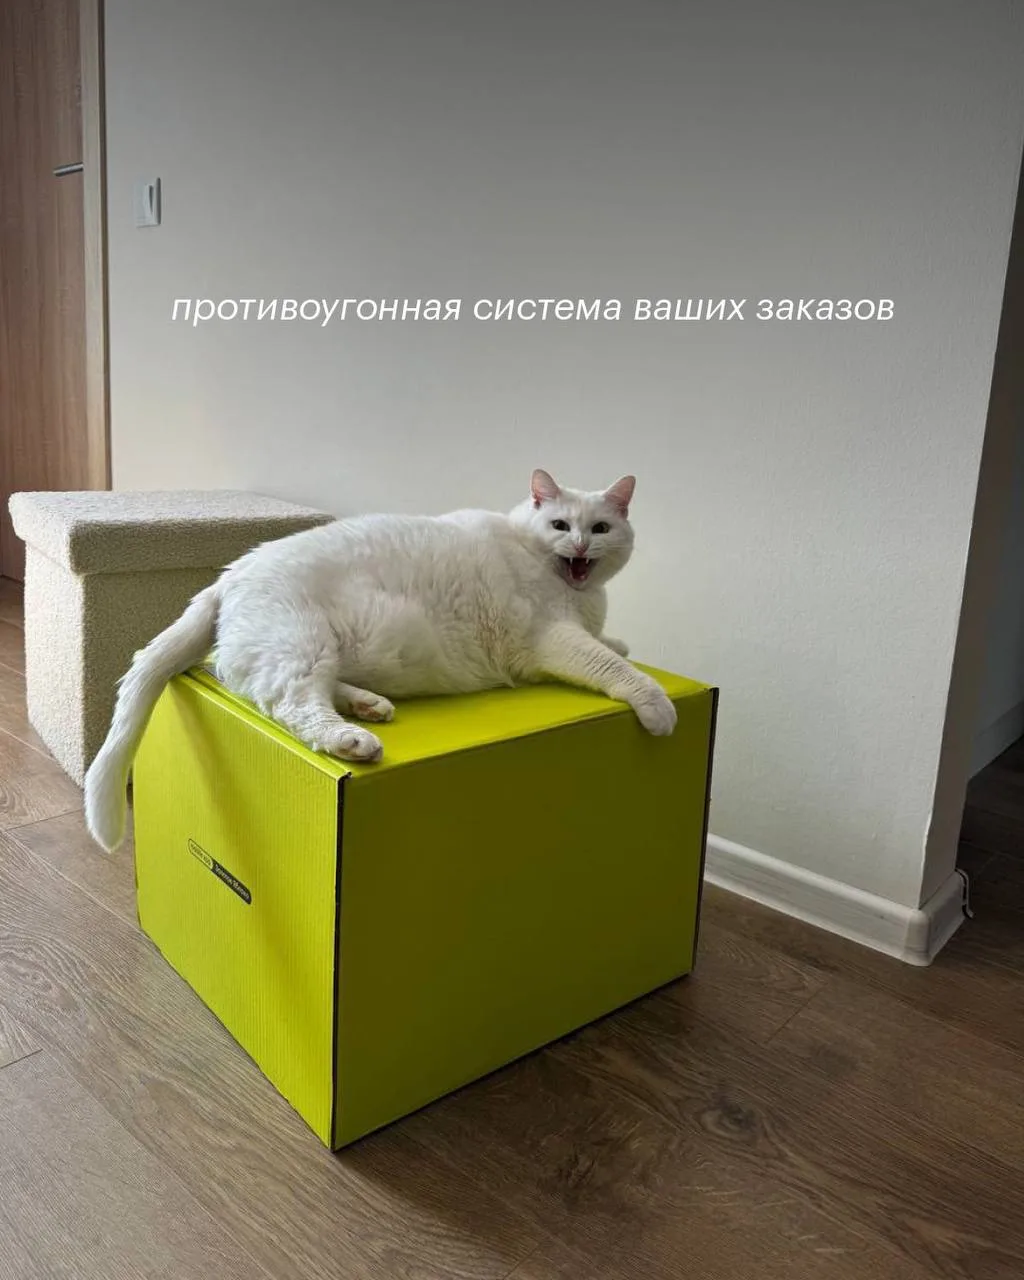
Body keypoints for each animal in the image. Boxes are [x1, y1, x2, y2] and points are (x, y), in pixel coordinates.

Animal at [84, 469, 677, 851]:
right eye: (559, 525)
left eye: (600, 529)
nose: (579, 547)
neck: (578, 592)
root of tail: (231, 573)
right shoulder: (551, 638)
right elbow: (613, 667)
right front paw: (657, 705)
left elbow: (612, 647)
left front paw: (621, 642)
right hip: (301, 647)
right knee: (287, 704)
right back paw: (352, 739)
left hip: (315, 652)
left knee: (260, 684)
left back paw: (369, 705)